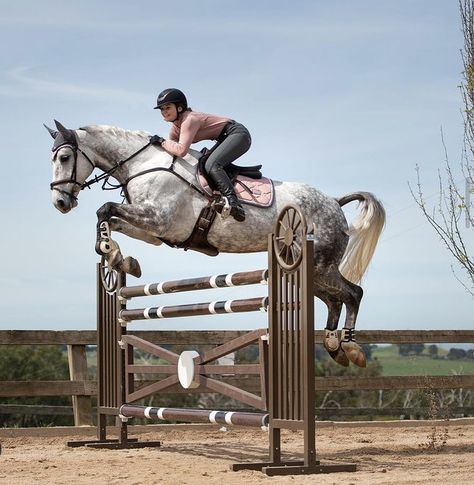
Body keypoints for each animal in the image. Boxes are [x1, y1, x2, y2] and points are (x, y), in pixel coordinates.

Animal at [45, 120, 386, 366]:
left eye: (64, 157)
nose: (60, 202)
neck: (142, 164)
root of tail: (334, 202)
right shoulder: (155, 232)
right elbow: (109, 219)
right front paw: (118, 258)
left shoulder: (159, 219)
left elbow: (105, 209)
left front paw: (111, 252)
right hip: (309, 271)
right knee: (335, 300)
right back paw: (333, 345)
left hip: (318, 266)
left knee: (353, 293)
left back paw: (350, 347)